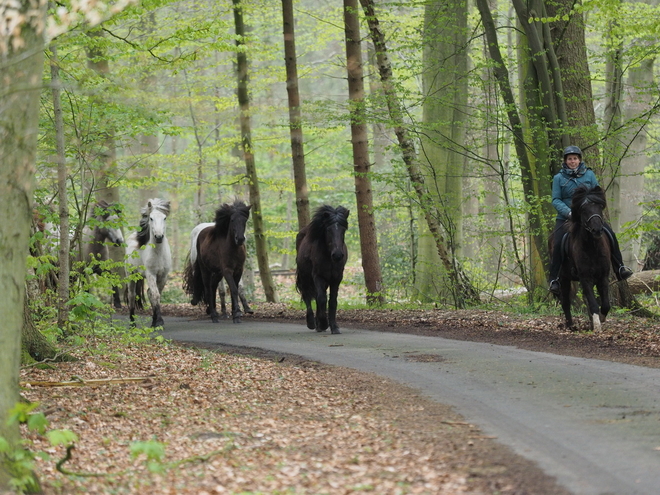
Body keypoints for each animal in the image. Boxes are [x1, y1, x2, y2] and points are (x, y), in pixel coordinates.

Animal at [124, 198, 170, 330]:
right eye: (151, 218)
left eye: (165, 218)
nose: (159, 237)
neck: (159, 254)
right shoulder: (151, 274)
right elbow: (155, 295)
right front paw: (159, 321)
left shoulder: (163, 276)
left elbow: (156, 294)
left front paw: (156, 321)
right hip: (131, 275)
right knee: (132, 295)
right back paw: (132, 323)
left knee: (148, 293)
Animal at [294, 203, 348, 336]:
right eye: (328, 230)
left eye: (343, 229)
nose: (337, 255)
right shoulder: (318, 276)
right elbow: (322, 299)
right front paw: (324, 323)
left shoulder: (336, 278)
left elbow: (332, 301)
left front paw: (334, 327)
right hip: (305, 277)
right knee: (307, 296)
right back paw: (312, 323)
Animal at [556, 184, 612, 332]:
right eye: (584, 210)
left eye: (599, 207)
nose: (597, 230)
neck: (592, 247)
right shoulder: (585, 278)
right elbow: (593, 304)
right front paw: (597, 326)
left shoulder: (603, 276)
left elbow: (605, 304)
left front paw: (600, 319)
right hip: (563, 278)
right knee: (566, 302)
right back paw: (571, 325)